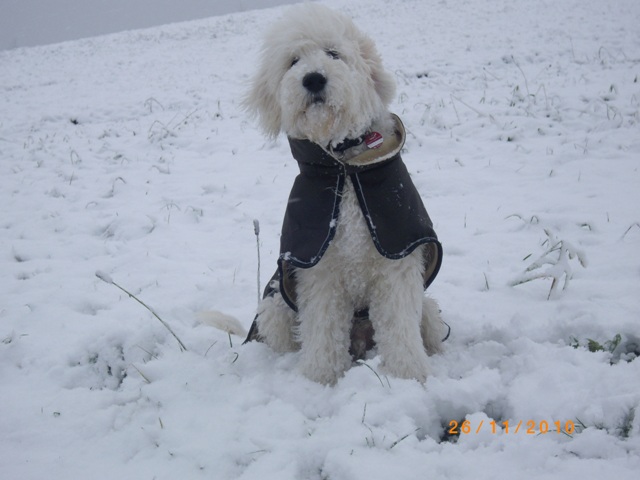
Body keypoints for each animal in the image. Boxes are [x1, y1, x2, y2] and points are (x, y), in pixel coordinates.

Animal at [239, 3, 444, 384]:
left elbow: (399, 326)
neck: (345, 167)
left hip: (430, 312)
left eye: (333, 53)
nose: (313, 79)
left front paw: (408, 375)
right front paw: (320, 378)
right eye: (293, 61)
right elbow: (323, 328)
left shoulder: (397, 263)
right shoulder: (318, 272)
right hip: (274, 308)